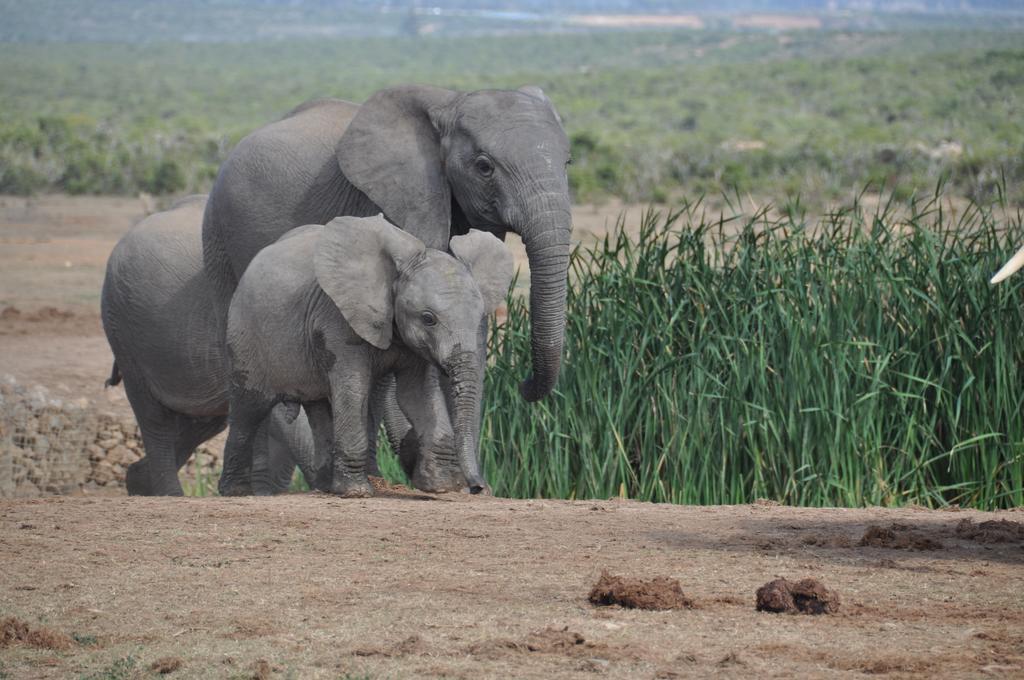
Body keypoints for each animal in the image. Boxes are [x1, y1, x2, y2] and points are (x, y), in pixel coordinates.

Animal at [221, 215, 516, 497]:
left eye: (479, 318)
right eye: (428, 318)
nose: (478, 488)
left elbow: (417, 394)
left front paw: (439, 487)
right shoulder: (338, 319)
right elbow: (354, 389)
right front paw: (357, 493)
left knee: (319, 407)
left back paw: (325, 487)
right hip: (245, 333)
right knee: (249, 408)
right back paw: (237, 491)